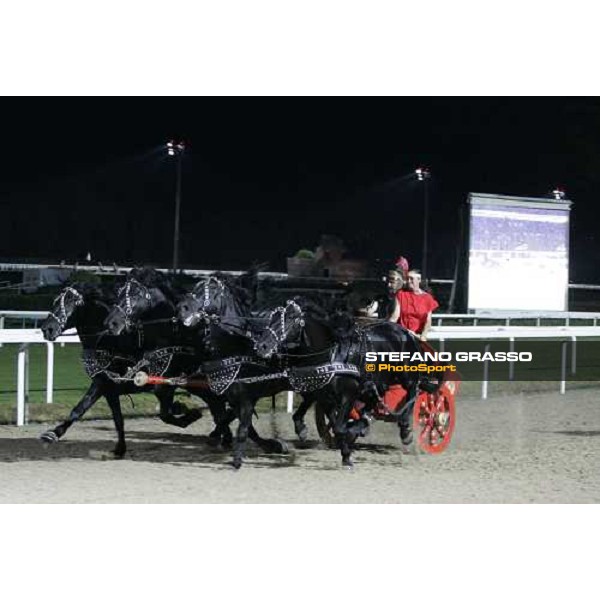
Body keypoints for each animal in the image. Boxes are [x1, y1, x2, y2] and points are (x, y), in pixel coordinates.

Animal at [40, 280, 204, 454]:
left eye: (70, 301)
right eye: (56, 301)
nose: (47, 329)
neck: (113, 344)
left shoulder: (161, 384)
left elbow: (166, 414)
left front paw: (189, 413)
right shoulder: (107, 387)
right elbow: (95, 412)